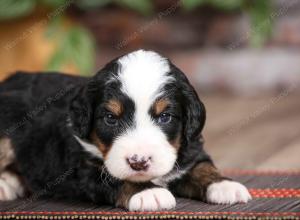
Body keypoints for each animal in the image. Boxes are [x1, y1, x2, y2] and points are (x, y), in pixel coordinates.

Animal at [0, 50, 251, 211]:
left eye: (165, 117)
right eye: (111, 119)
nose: (138, 162)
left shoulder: (190, 147)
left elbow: (202, 166)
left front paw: (225, 185)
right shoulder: (85, 166)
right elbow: (116, 177)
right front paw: (148, 192)